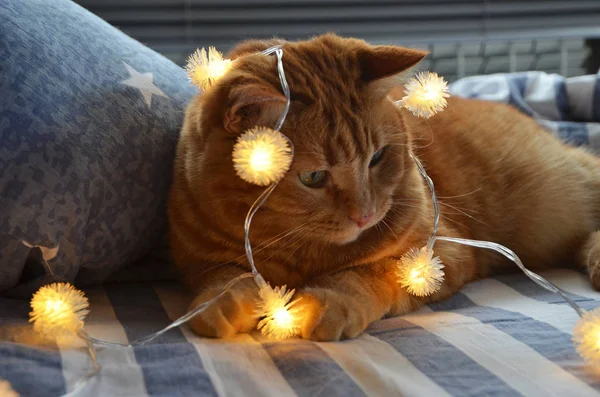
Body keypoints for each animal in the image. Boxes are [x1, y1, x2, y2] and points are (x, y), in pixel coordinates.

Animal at [166, 34, 600, 340]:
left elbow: (368, 272)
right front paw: (221, 302)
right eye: (313, 177)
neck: (297, 248)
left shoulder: (439, 254)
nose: (366, 214)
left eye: (377, 157)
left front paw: (329, 300)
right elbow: (228, 275)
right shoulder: (196, 259)